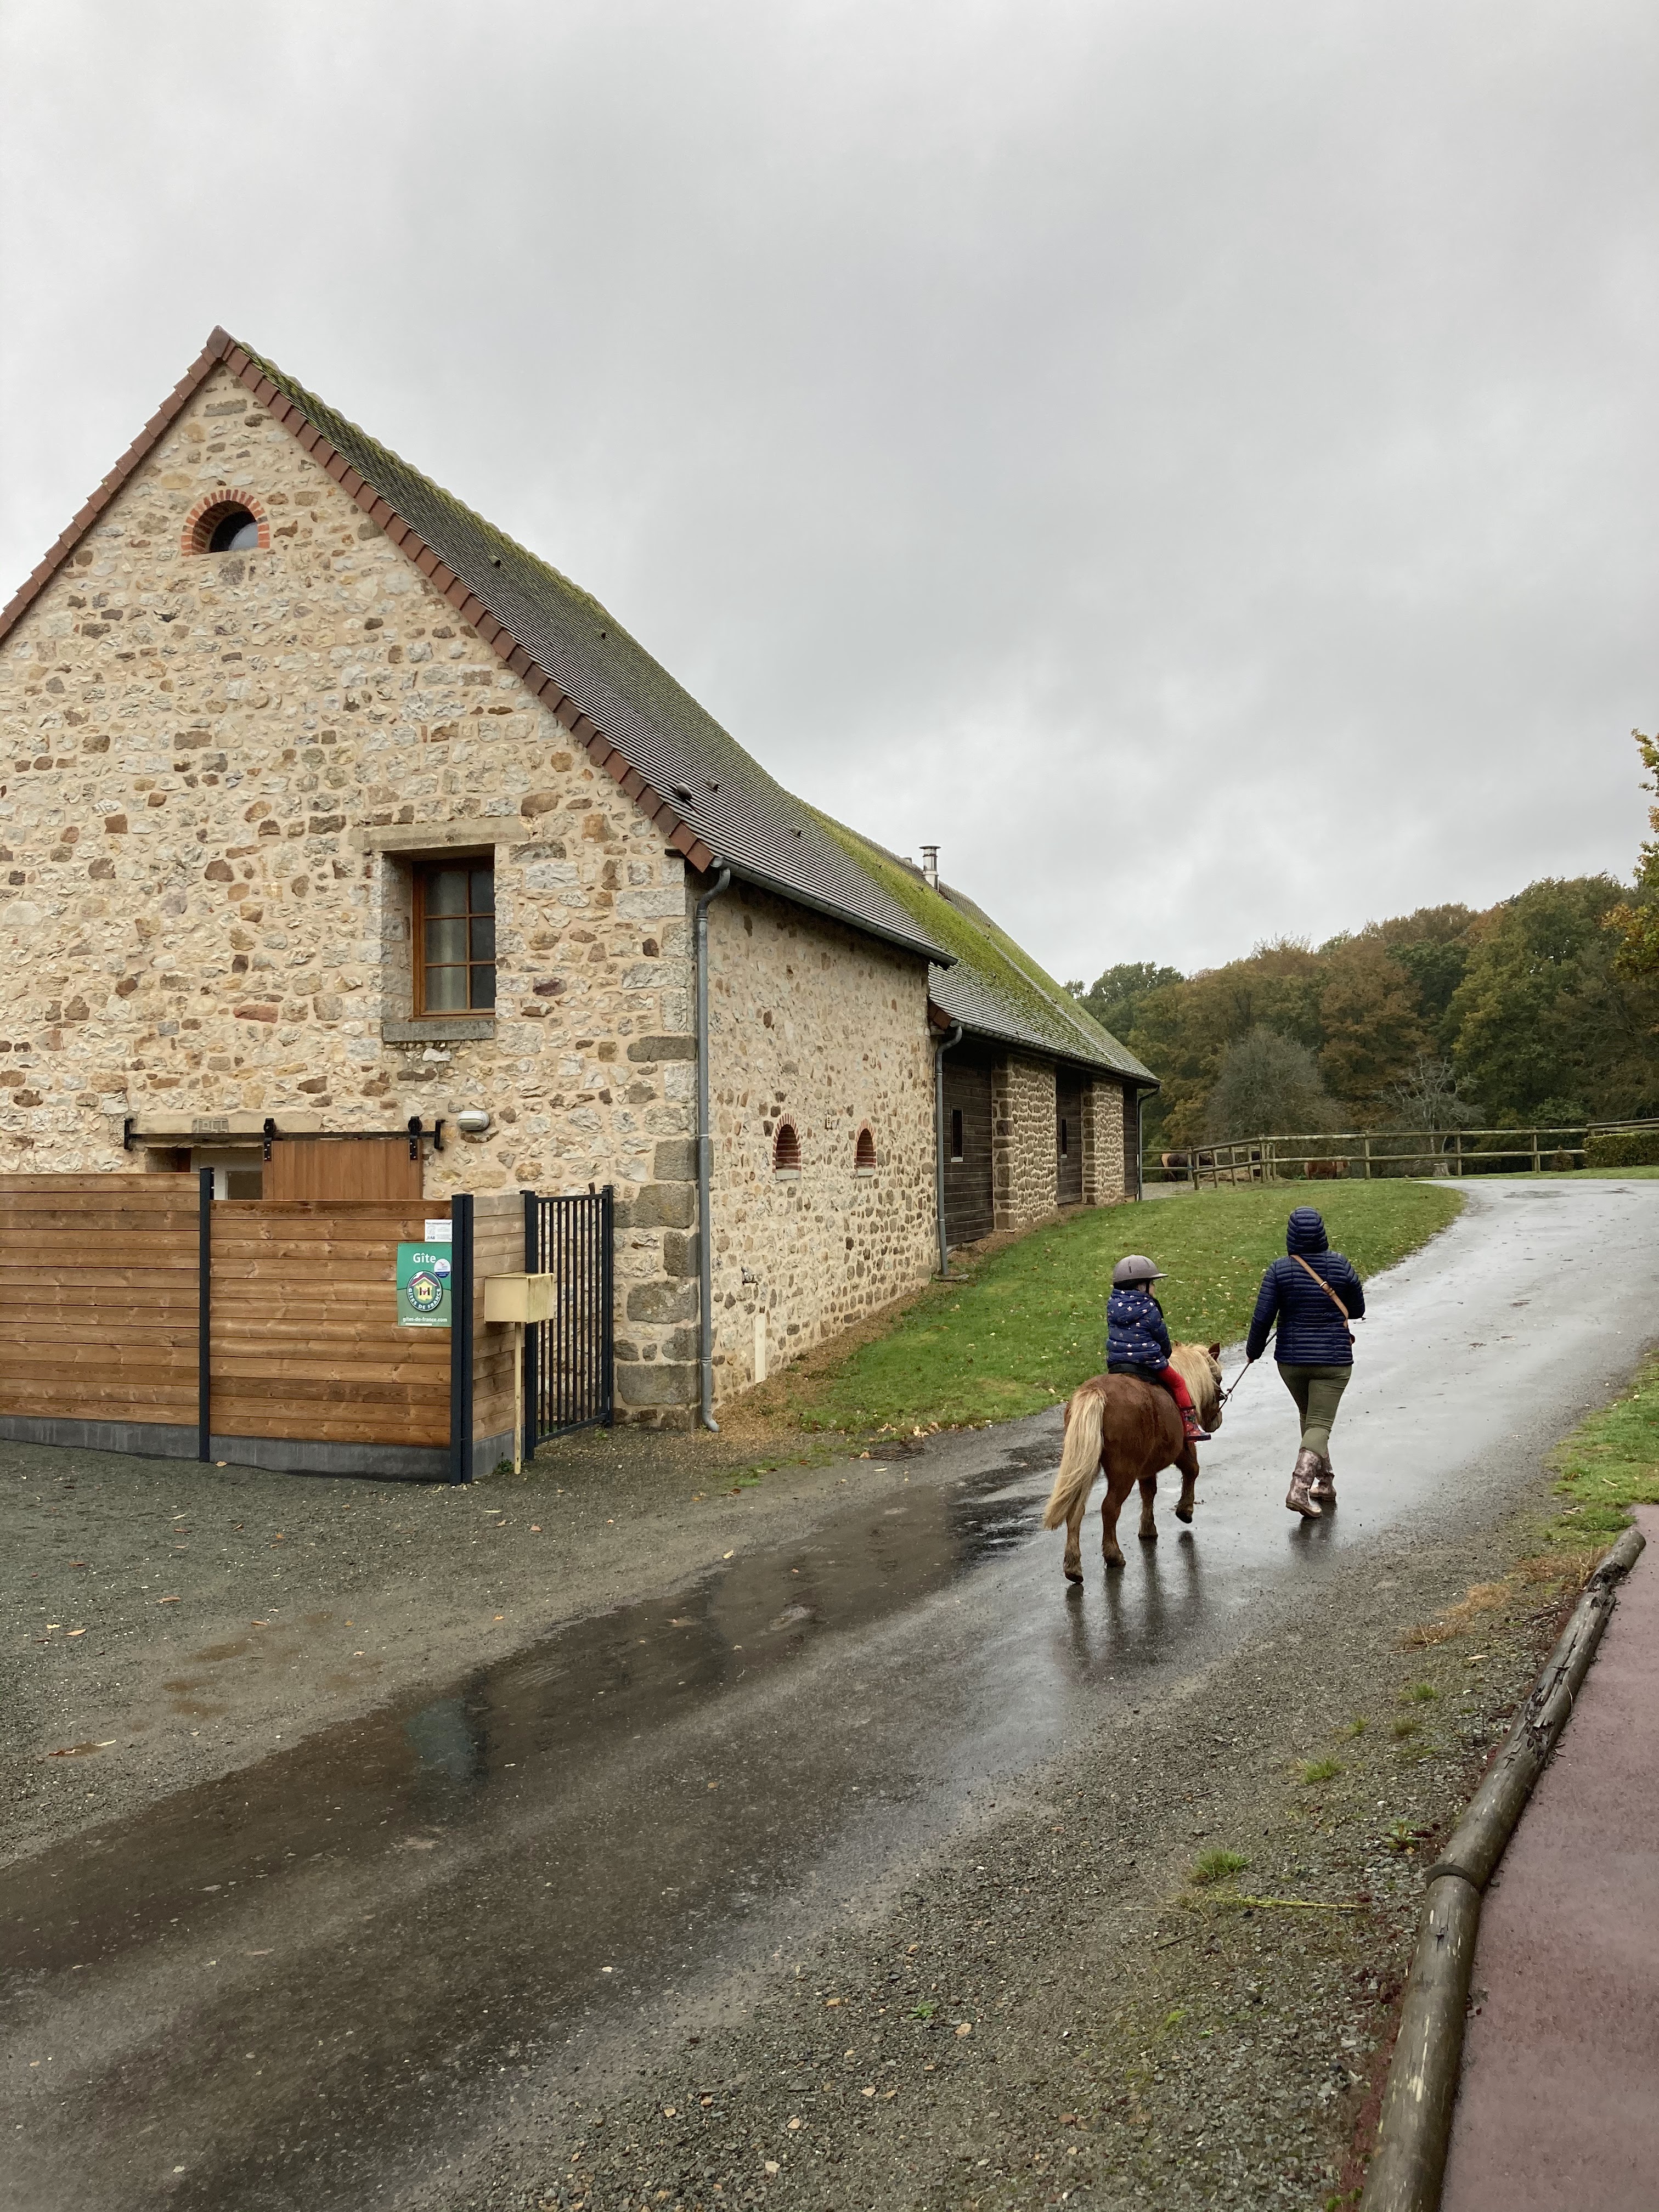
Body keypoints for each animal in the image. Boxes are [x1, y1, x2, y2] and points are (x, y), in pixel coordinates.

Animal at [1040, 1342, 1225, 1581]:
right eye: (1218, 1378)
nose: (1216, 1421)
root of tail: (1095, 1393)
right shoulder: (1184, 1449)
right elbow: (1192, 1471)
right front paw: (1185, 1511)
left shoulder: (1146, 1468)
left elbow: (1149, 1492)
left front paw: (1147, 1529)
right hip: (1122, 1474)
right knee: (1109, 1508)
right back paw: (1113, 1555)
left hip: (1085, 1466)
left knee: (1075, 1510)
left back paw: (1073, 1566)